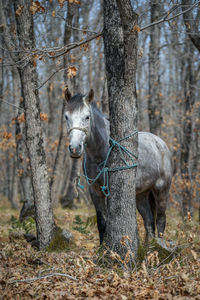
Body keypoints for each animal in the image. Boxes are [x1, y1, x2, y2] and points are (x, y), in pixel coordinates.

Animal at [65, 88, 173, 244]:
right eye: (66, 117)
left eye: (87, 117)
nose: (74, 148)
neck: (101, 153)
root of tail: (160, 143)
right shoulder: (95, 191)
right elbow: (101, 223)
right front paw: (102, 248)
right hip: (141, 195)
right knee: (149, 221)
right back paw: (149, 247)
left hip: (161, 190)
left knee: (160, 220)